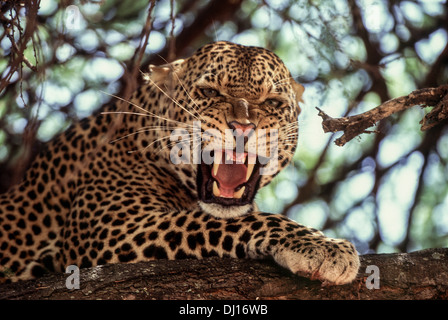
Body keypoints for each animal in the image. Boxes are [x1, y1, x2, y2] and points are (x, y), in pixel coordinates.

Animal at [0, 40, 360, 284]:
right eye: (210, 92)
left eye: (272, 102)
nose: (243, 127)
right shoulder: (115, 229)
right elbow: (229, 222)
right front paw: (321, 246)